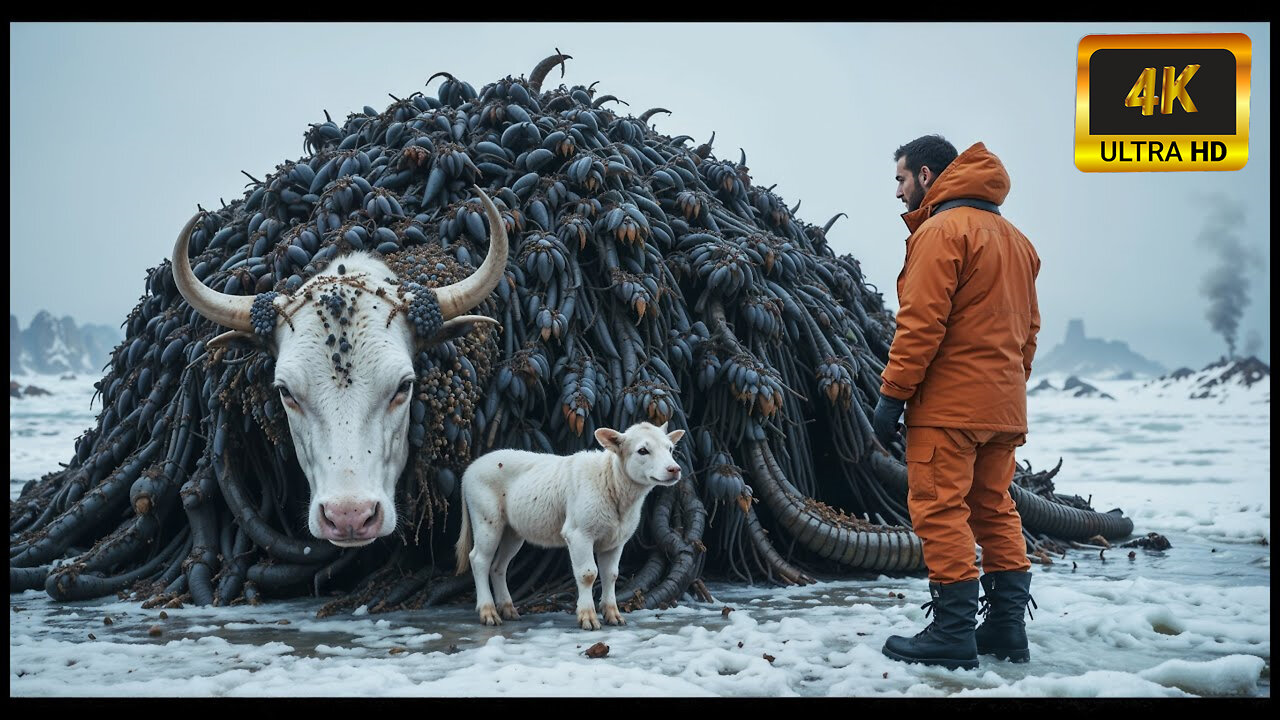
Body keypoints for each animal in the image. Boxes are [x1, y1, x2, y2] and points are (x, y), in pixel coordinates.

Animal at [455, 421, 686, 630]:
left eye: (670, 448)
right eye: (642, 450)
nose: (674, 469)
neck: (612, 481)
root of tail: (469, 470)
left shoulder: (616, 540)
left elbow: (611, 575)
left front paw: (613, 616)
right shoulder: (579, 533)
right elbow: (588, 574)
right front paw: (588, 617)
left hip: (512, 531)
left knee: (498, 567)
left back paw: (508, 610)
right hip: (486, 518)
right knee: (479, 560)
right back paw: (488, 612)